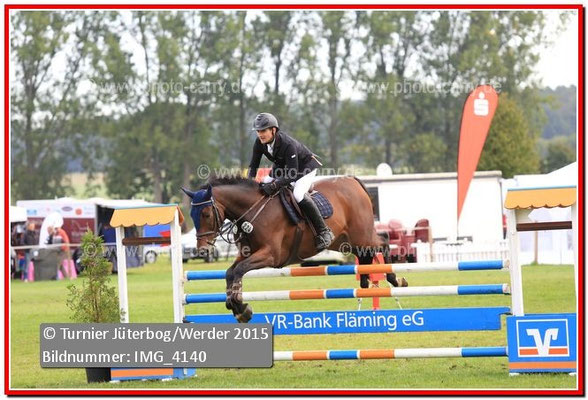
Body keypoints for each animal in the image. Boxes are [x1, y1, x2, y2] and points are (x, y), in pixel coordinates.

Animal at [182, 175, 408, 323]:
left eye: (206, 214)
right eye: (191, 215)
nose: (202, 251)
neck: (253, 211)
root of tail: (353, 181)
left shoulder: (270, 255)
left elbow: (239, 270)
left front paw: (239, 306)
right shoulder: (247, 253)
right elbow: (231, 272)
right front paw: (238, 308)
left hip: (361, 236)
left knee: (383, 242)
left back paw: (396, 280)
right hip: (346, 241)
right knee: (367, 255)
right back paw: (364, 283)